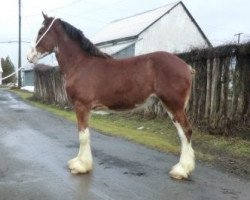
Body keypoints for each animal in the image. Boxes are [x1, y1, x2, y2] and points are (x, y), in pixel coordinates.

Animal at [27, 13, 195, 180]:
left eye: (41, 31)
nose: (29, 56)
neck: (81, 64)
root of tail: (185, 66)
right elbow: (84, 133)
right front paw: (79, 162)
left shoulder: (82, 106)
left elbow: (83, 135)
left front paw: (80, 166)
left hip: (174, 105)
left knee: (186, 132)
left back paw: (181, 170)